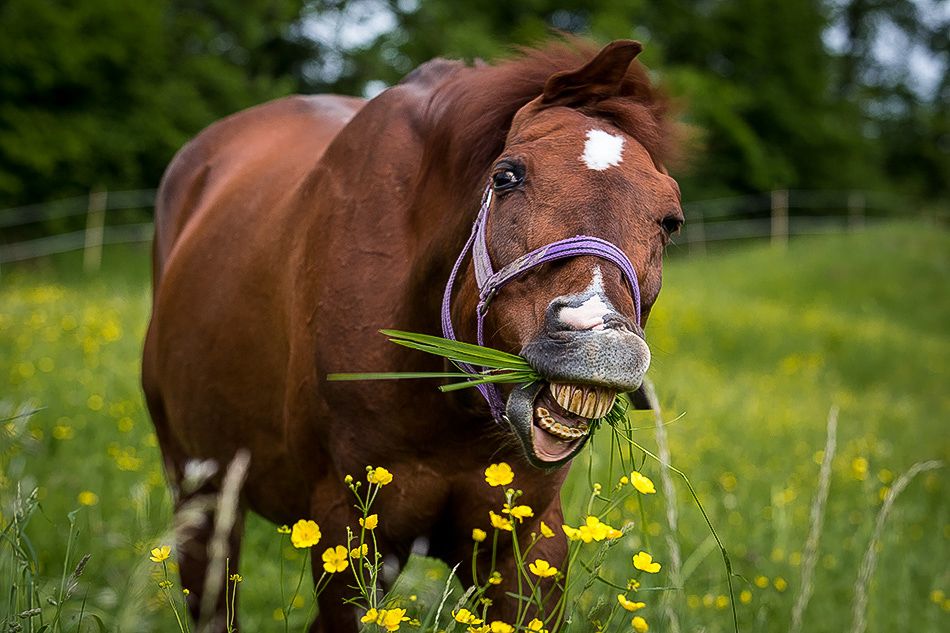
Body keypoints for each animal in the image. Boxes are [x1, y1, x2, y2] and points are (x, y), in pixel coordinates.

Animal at [142, 38, 682, 631]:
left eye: (671, 220)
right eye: (506, 176)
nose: (599, 341)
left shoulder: (527, 549)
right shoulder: (348, 533)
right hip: (200, 492)